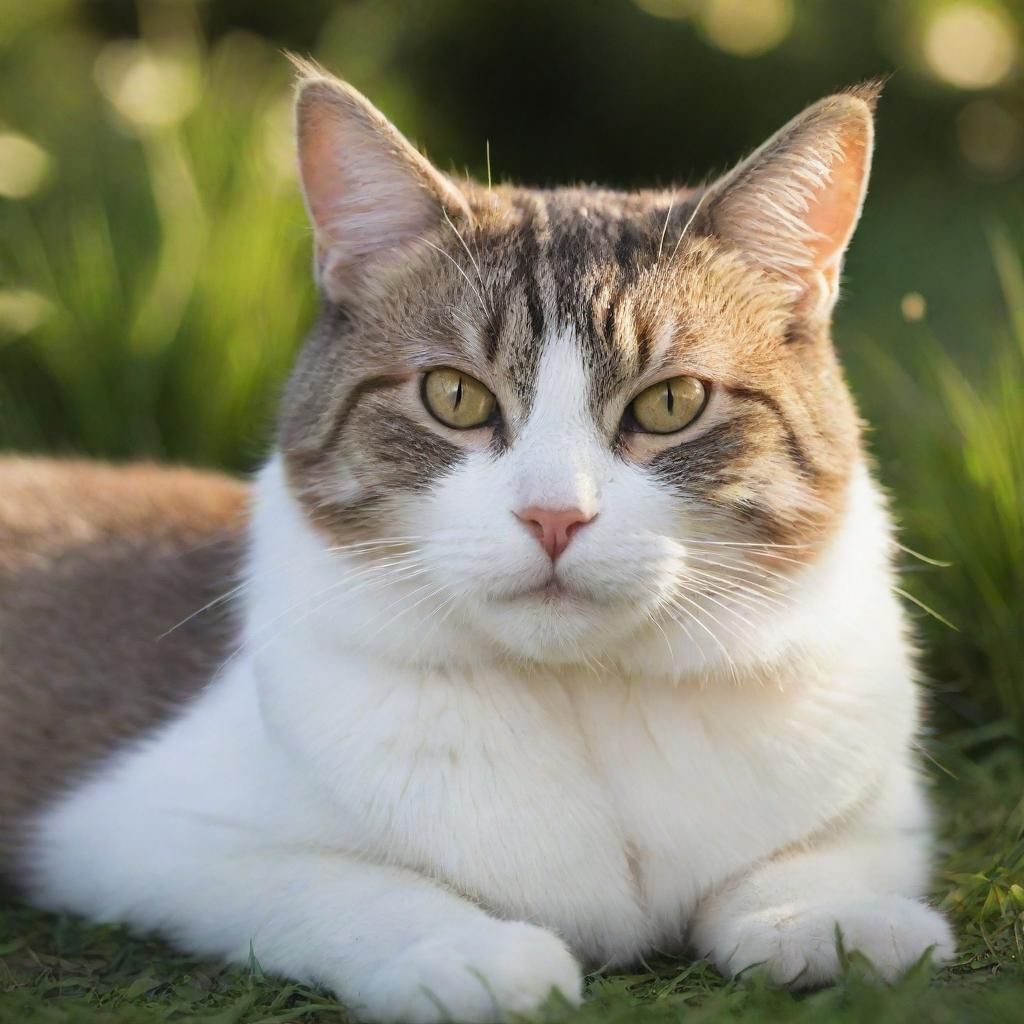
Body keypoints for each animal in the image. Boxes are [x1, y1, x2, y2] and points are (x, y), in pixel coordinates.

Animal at [4, 59, 954, 1019]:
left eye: (671, 403)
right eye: (454, 396)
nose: (554, 515)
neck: (585, 694)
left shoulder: (875, 802)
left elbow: (811, 857)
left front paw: (831, 920)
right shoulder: (143, 830)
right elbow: (341, 883)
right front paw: (473, 952)